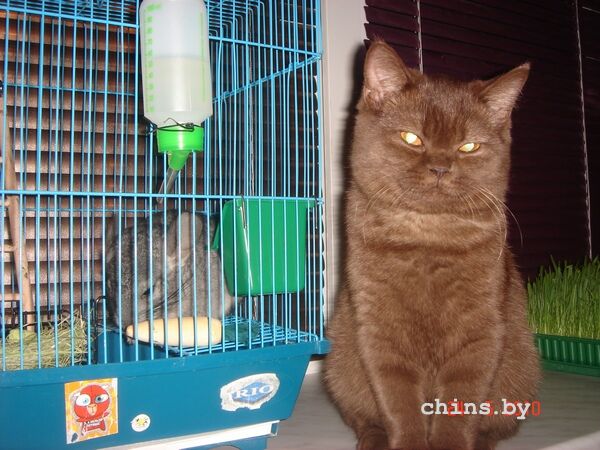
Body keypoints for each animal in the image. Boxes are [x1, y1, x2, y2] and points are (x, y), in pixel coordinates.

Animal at [324, 40, 540, 450]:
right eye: (412, 138)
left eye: (468, 146)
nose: (440, 168)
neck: (428, 236)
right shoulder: (380, 333)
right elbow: (399, 405)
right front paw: (408, 442)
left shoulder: (479, 335)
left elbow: (460, 406)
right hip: (341, 365)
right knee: (364, 418)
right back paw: (372, 441)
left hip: (520, 371)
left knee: (496, 427)